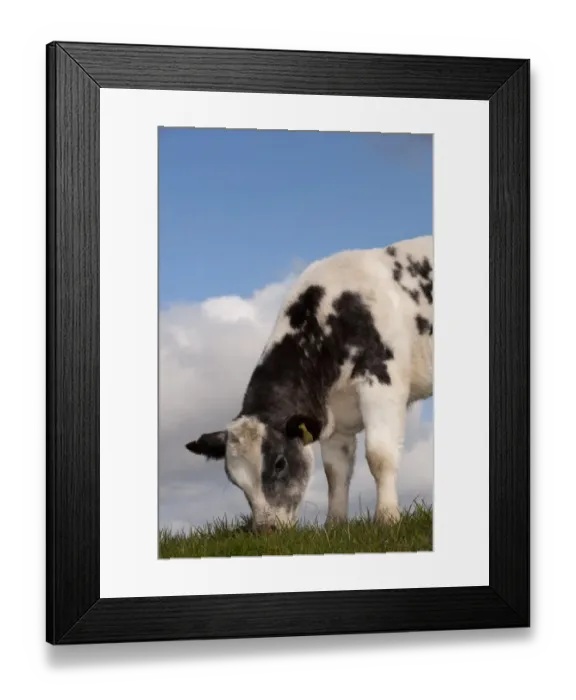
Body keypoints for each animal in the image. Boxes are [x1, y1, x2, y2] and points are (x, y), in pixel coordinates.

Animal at [185, 235, 433, 532]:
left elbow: (379, 456)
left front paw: (387, 519)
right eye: (234, 479)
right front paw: (334, 525)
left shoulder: (382, 383)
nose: (266, 530)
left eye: (279, 463)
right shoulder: (334, 418)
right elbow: (335, 472)